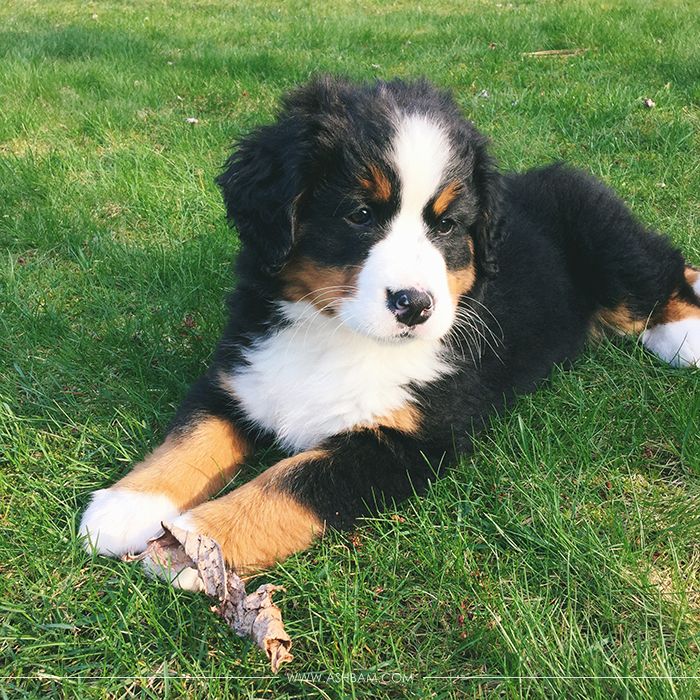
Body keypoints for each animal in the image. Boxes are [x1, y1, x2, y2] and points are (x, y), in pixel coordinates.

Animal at [80, 75, 700, 584]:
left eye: (446, 226)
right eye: (360, 214)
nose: (415, 306)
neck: (336, 335)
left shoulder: (410, 439)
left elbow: (291, 482)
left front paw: (193, 542)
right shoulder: (240, 376)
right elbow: (191, 438)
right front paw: (126, 506)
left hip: (604, 240)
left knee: (662, 271)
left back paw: (684, 338)